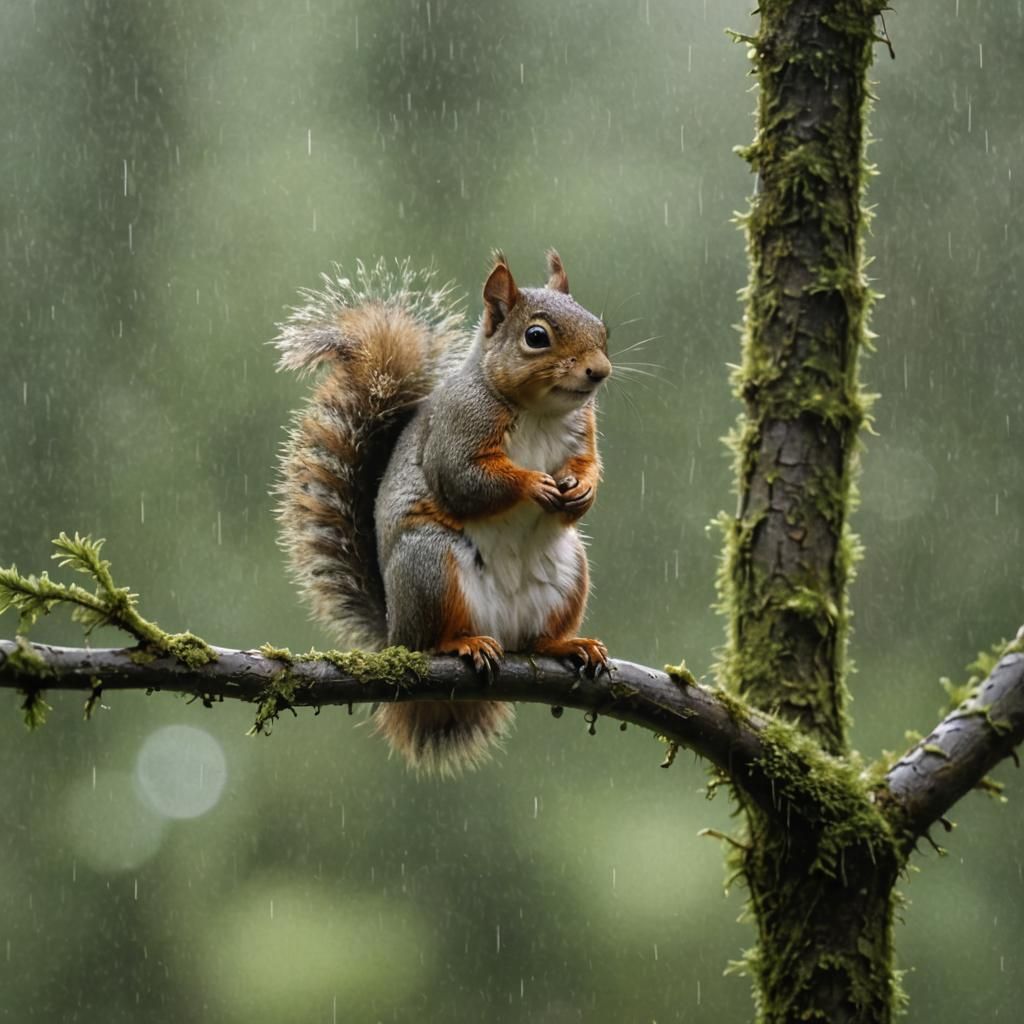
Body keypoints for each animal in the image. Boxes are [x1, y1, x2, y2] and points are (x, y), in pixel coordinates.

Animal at [274, 250, 611, 775]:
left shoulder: (583, 432)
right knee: (435, 636)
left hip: (568, 573)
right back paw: (462, 643)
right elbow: (467, 482)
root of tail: (396, 634)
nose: (601, 371)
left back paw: (566, 644)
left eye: (602, 328)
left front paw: (582, 489)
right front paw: (532, 484)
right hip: (431, 564)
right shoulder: (458, 431)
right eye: (537, 337)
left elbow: (586, 469)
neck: (539, 412)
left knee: (536, 640)